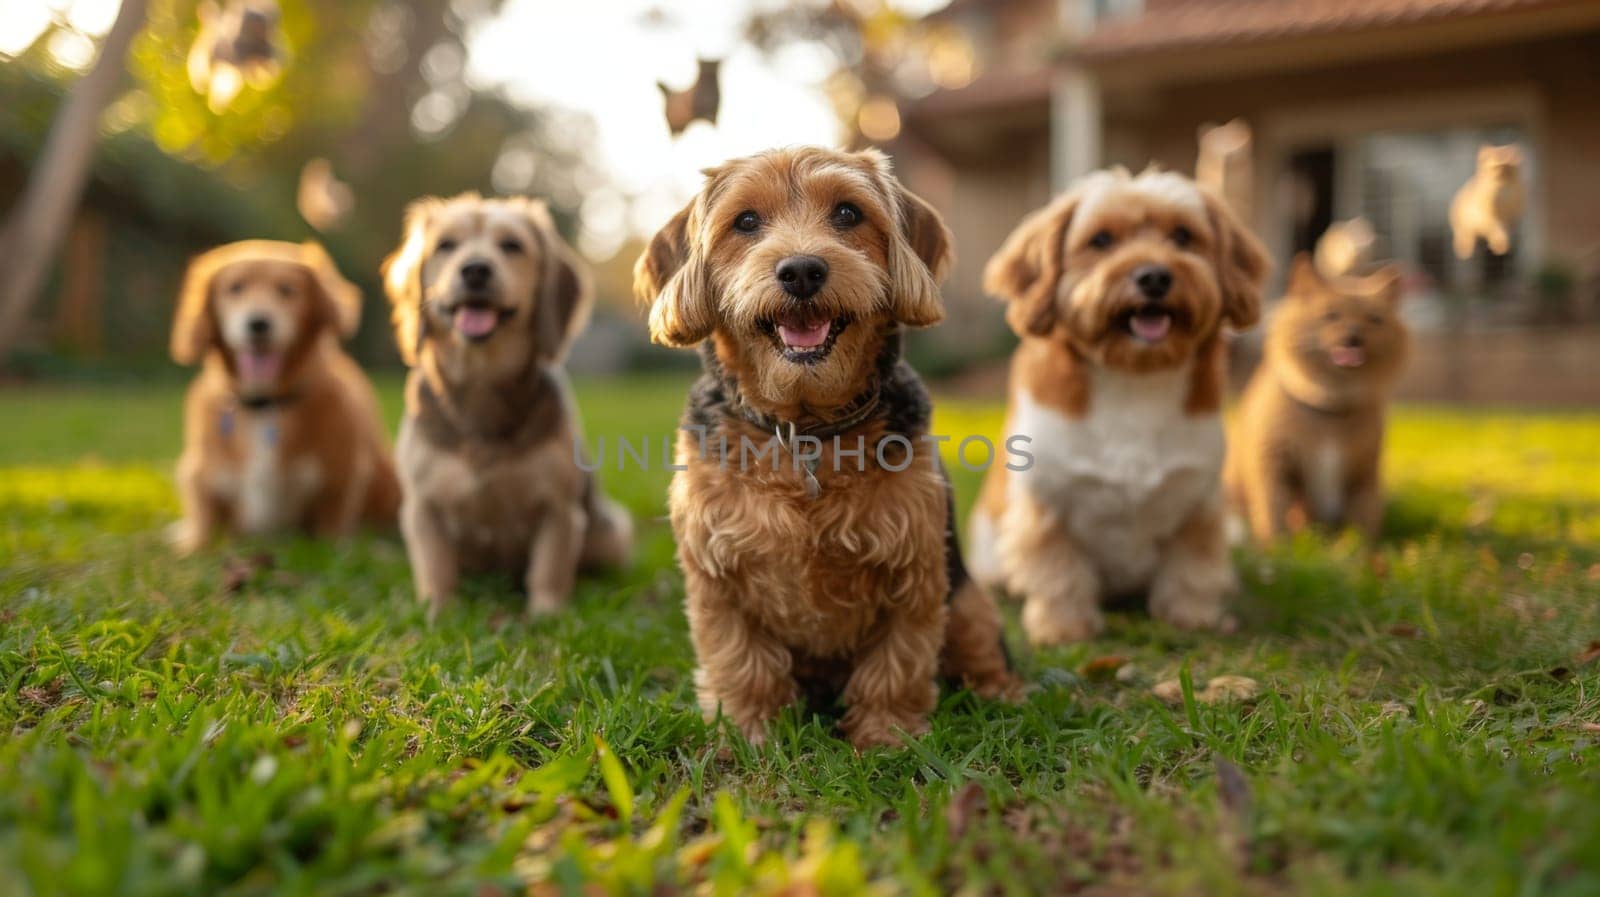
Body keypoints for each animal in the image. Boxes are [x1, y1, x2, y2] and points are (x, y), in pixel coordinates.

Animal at [168, 238, 400, 553]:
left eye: (288, 289)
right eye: (235, 288)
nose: (258, 323)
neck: (266, 406)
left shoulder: (341, 477)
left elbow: (333, 530)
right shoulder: (202, 475)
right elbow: (204, 525)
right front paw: (190, 546)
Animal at [380, 193, 630, 620]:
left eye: (512, 246)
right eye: (446, 245)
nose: (476, 270)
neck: (481, 384)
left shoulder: (560, 510)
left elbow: (548, 568)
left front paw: (546, 615)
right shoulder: (421, 509)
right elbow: (435, 567)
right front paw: (438, 611)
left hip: (613, 532)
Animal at [966, 167, 1267, 642]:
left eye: (1183, 236)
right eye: (1101, 240)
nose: (1154, 276)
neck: (1133, 378)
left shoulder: (1198, 502)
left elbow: (1193, 565)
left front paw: (1193, 616)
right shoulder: (1047, 502)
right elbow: (1057, 568)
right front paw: (1063, 626)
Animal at [1216, 255, 1408, 543]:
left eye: (1374, 319)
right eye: (1330, 315)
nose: (1354, 337)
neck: (1329, 409)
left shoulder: (1363, 472)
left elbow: (1363, 515)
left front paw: (1362, 547)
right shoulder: (1276, 463)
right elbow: (1274, 506)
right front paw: (1276, 545)